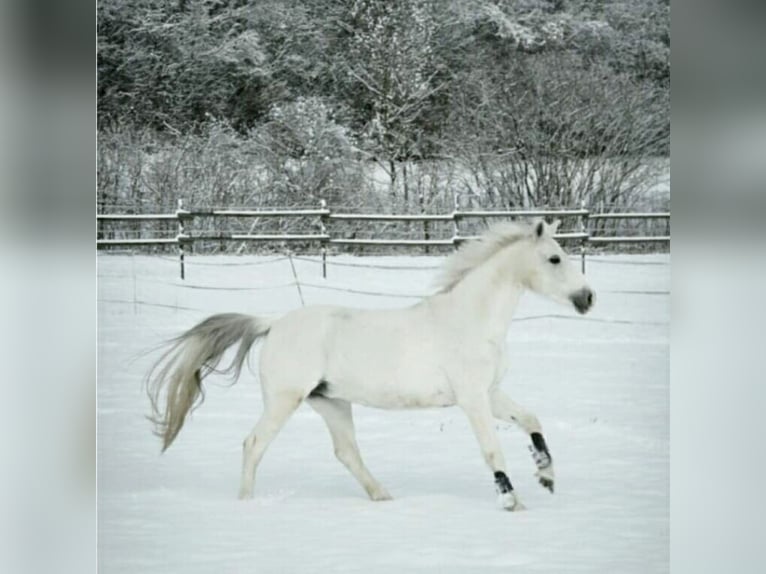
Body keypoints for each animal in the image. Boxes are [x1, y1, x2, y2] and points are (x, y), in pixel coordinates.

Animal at [147, 219, 594, 511]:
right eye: (554, 259)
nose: (588, 298)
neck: (471, 319)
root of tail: (272, 324)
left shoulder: (492, 393)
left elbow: (532, 421)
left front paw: (546, 476)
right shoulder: (472, 399)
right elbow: (492, 450)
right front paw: (511, 500)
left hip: (331, 402)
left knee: (346, 452)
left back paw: (383, 496)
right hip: (284, 400)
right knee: (254, 444)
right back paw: (245, 504)